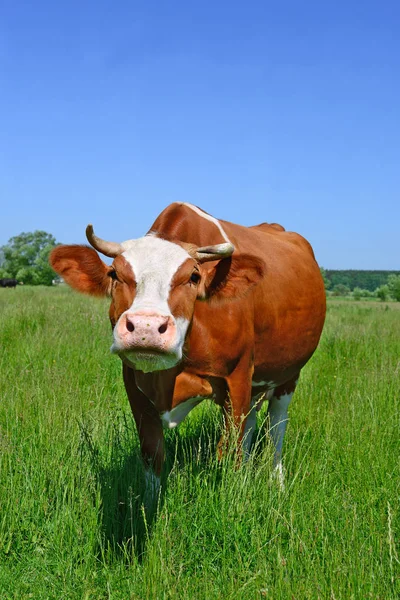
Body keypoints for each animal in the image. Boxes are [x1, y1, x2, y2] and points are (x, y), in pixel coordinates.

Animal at [49, 202, 324, 492]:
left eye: (194, 276)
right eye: (114, 274)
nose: (146, 327)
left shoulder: (238, 376)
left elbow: (231, 451)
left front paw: (235, 491)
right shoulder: (134, 383)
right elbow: (152, 454)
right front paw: (150, 501)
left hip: (288, 374)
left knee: (276, 426)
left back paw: (277, 481)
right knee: (252, 421)